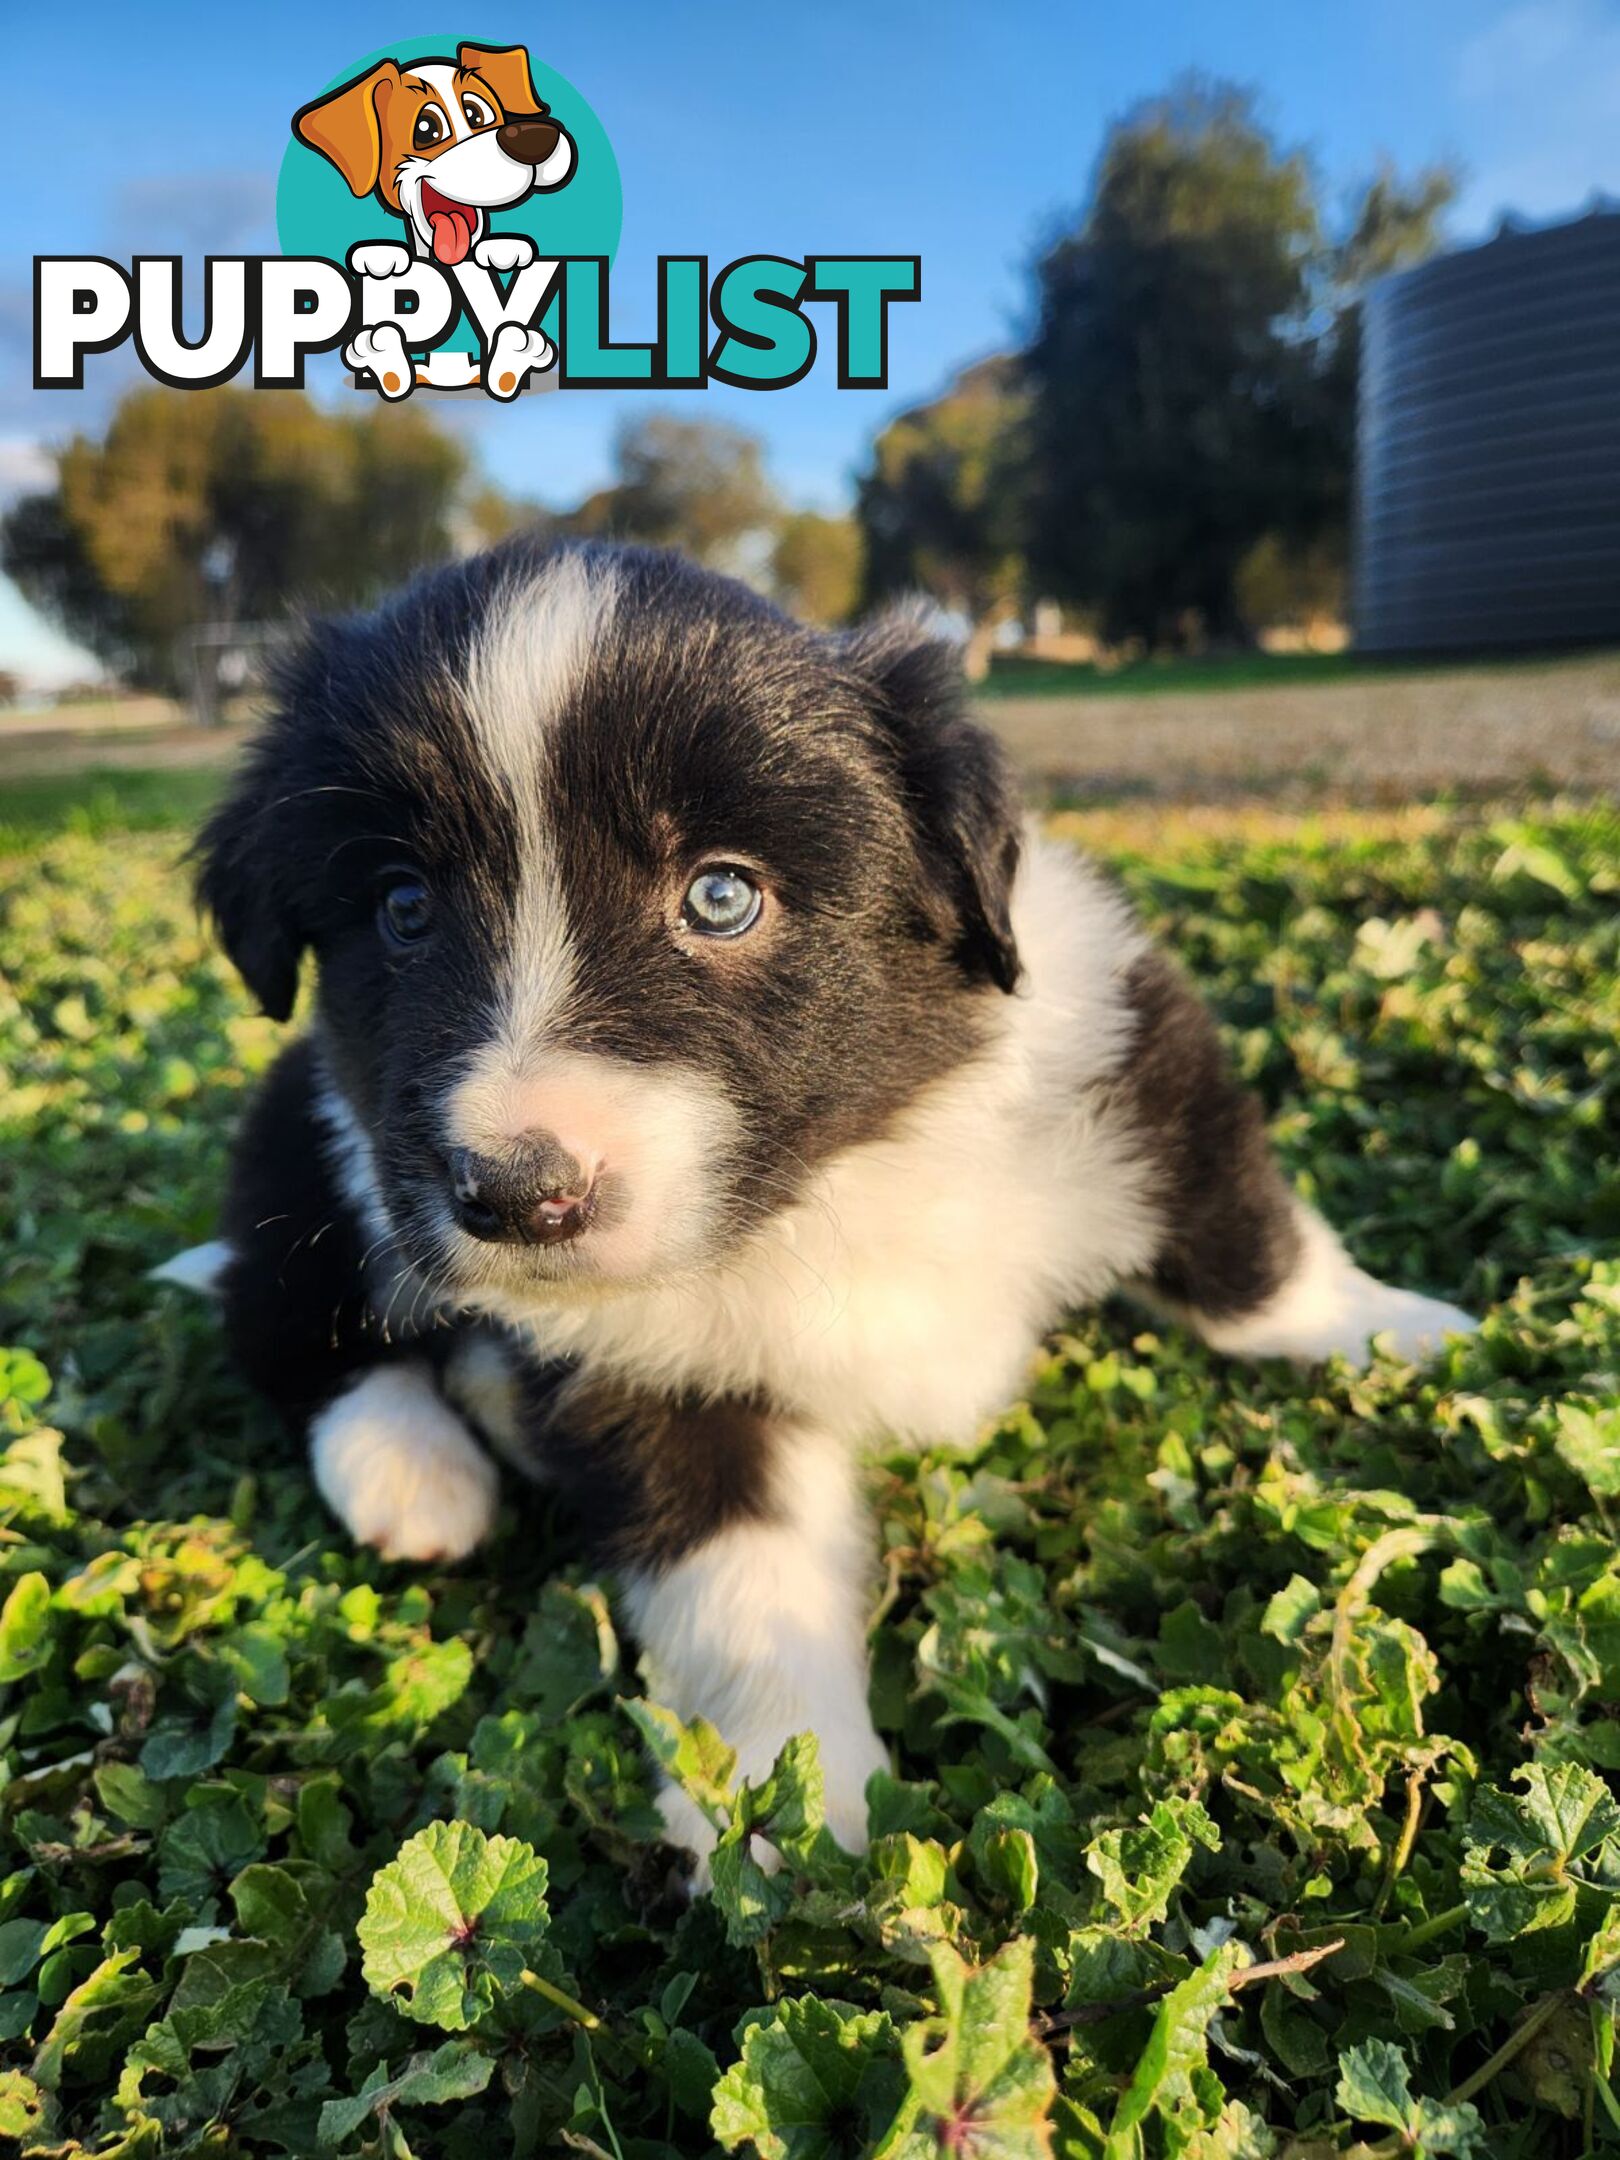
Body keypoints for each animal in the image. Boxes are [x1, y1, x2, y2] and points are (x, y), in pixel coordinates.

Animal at [193, 531, 1486, 1866]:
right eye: (403, 909)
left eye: (722, 896)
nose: (518, 1194)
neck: (827, 1180)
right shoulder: (657, 1379)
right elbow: (741, 1582)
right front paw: (787, 1803)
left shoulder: (1130, 1052)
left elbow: (1244, 1237)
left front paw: (1395, 1330)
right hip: (312, 1140)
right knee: (278, 1312)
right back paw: (413, 1470)